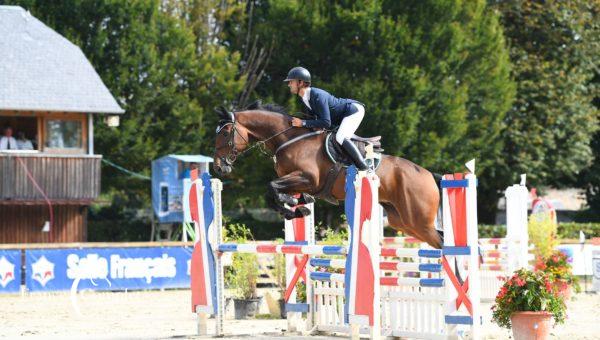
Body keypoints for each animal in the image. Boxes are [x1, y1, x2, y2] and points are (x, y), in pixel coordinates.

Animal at [211, 105, 440, 248]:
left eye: (225, 133)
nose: (219, 168)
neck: (289, 139)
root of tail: (429, 175)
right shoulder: (296, 181)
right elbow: (273, 193)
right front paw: (297, 206)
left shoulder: (308, 179)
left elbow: (271, 187)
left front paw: (295, 206)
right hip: (402, 221)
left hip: (419, 221)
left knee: (441, 242)